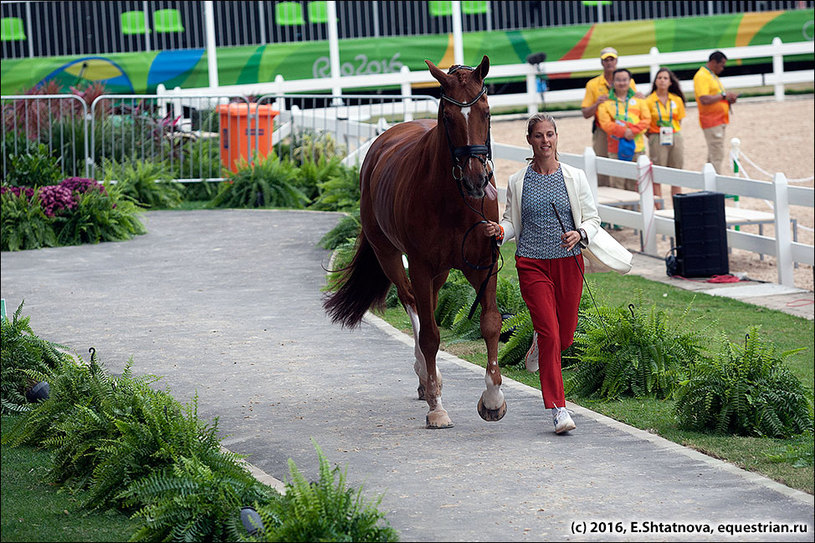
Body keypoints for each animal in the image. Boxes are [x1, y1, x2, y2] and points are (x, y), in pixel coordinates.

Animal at [324, 55, 504, 430]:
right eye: (448, 117)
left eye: (486, 111)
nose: (476, 179)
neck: (454, 199)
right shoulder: (420, 265)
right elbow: (431, 335)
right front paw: (437, 407)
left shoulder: (483, 264)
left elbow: (491, 323)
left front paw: (493, 398)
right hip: (390, 255)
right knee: (411, 304)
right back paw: (425, 377)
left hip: (439, 270)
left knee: (429, 304)